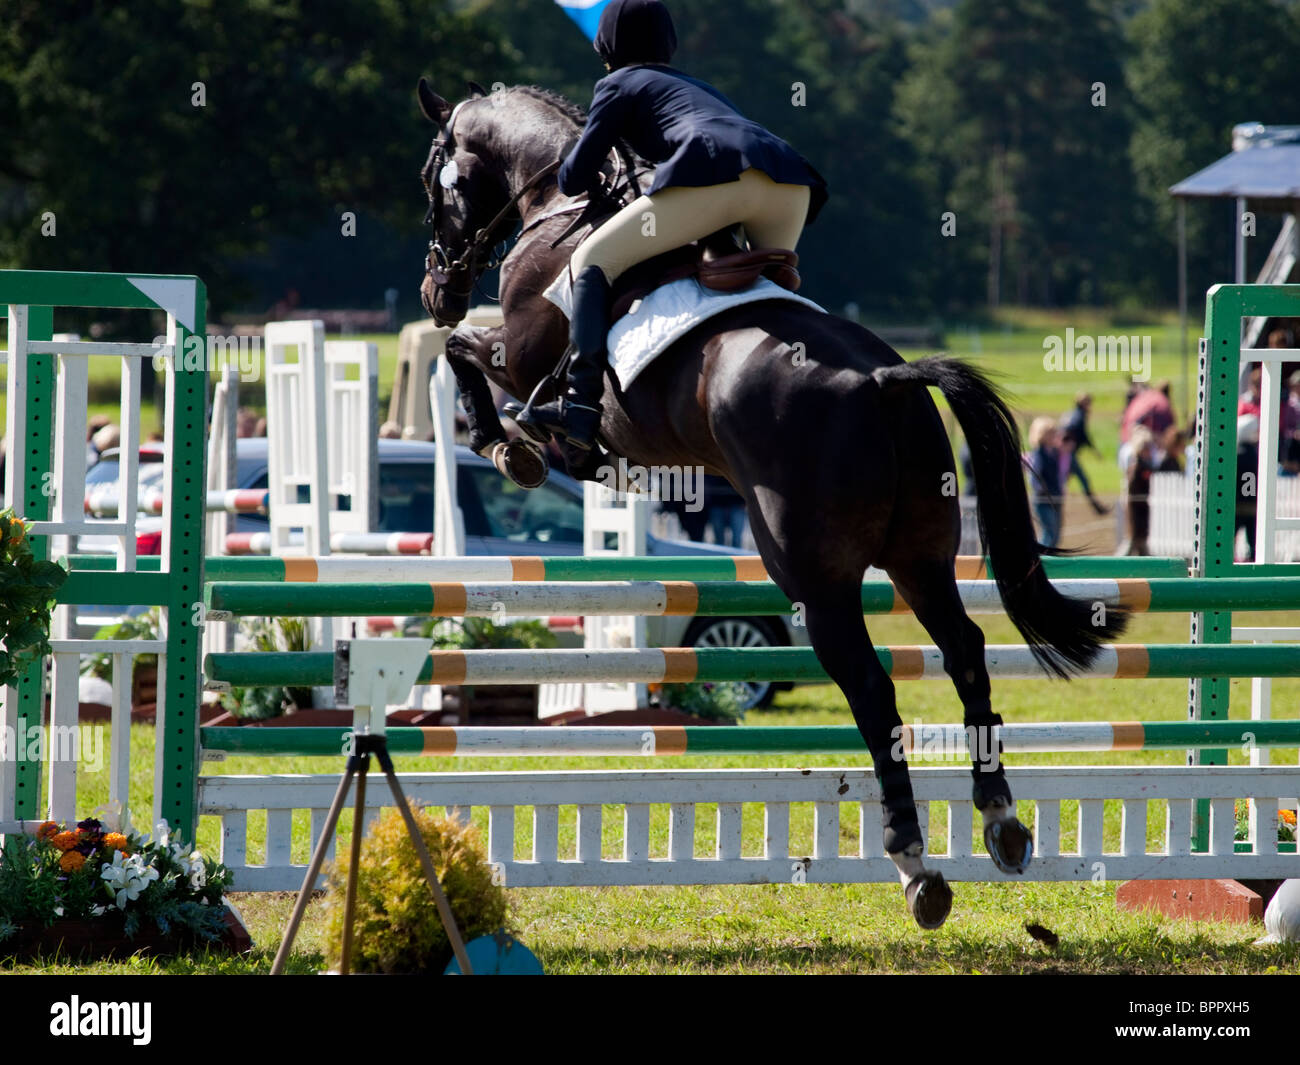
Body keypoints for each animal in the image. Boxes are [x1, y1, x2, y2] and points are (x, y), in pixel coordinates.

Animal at [416, 78, 1128, 931]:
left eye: (433, 186)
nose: (435, 290)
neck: (556, 201)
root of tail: (880, 380)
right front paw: (513, 438)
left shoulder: (521, 352)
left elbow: (467, 358)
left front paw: (506, 444)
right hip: (922, 558)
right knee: (964, 652)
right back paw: (1001, 820)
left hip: (815, 580)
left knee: (872, 688)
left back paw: (916, 864)